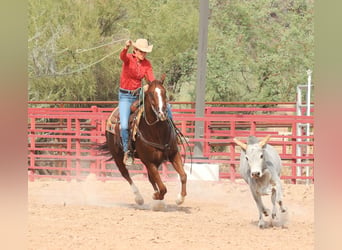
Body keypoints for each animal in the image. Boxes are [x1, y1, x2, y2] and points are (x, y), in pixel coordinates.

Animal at [99, 75, 187, 210]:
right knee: (126, 174)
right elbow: (163, 188)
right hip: (118, 156)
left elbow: (183, 176)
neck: (157, 132)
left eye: (164, 92)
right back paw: (139, 198)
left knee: (151, 179)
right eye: (150, 94)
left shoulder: (173, 154)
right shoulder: (149, 161)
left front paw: (179, 199)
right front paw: (156, 197)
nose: (162, 113)